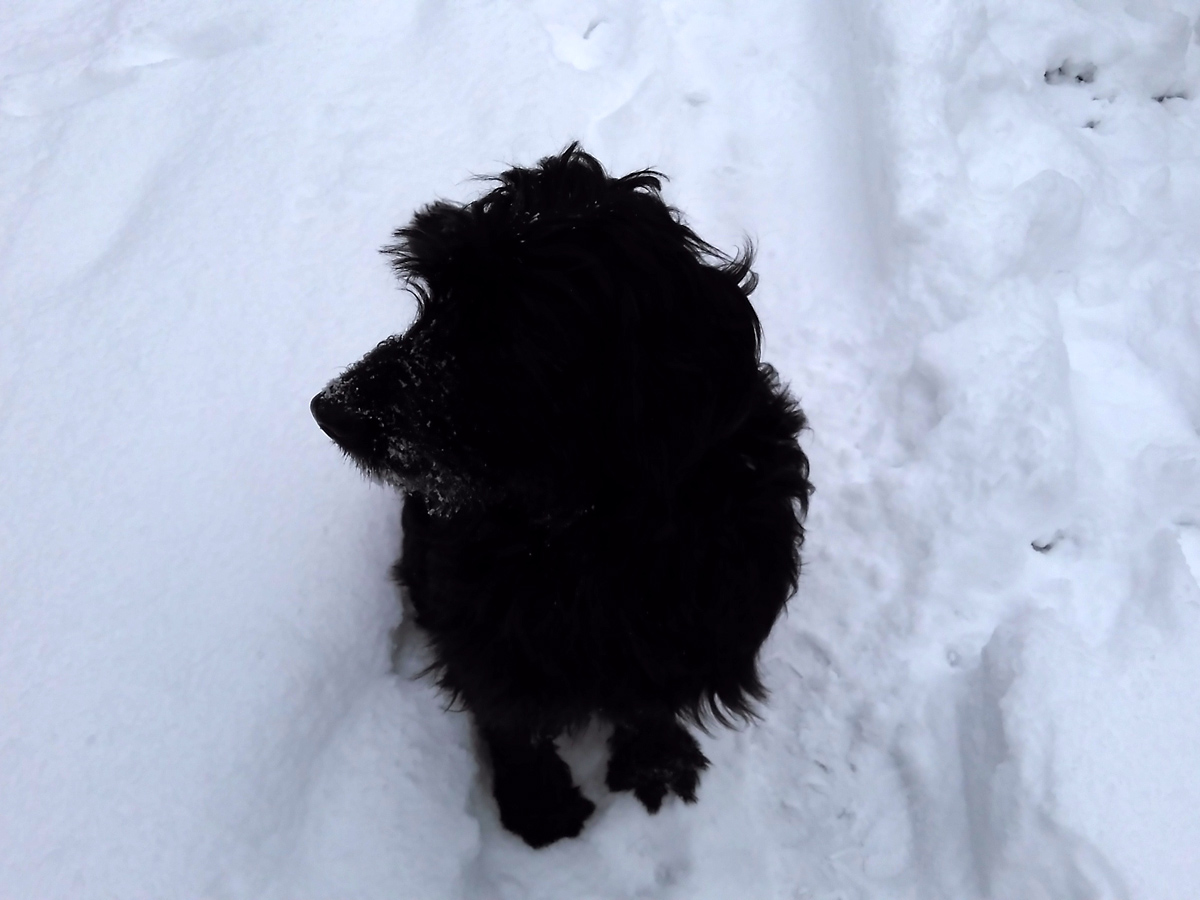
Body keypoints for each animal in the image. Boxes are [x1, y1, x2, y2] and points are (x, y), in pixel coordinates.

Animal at [312, 144, 816, 849]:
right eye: (433, 298)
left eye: (502, 332)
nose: (330, 411)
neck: (588, 522)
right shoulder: (484, 628)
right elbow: (509, 715)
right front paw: (539, 806)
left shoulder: (708, 612)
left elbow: (650, 699)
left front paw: (656, 766)